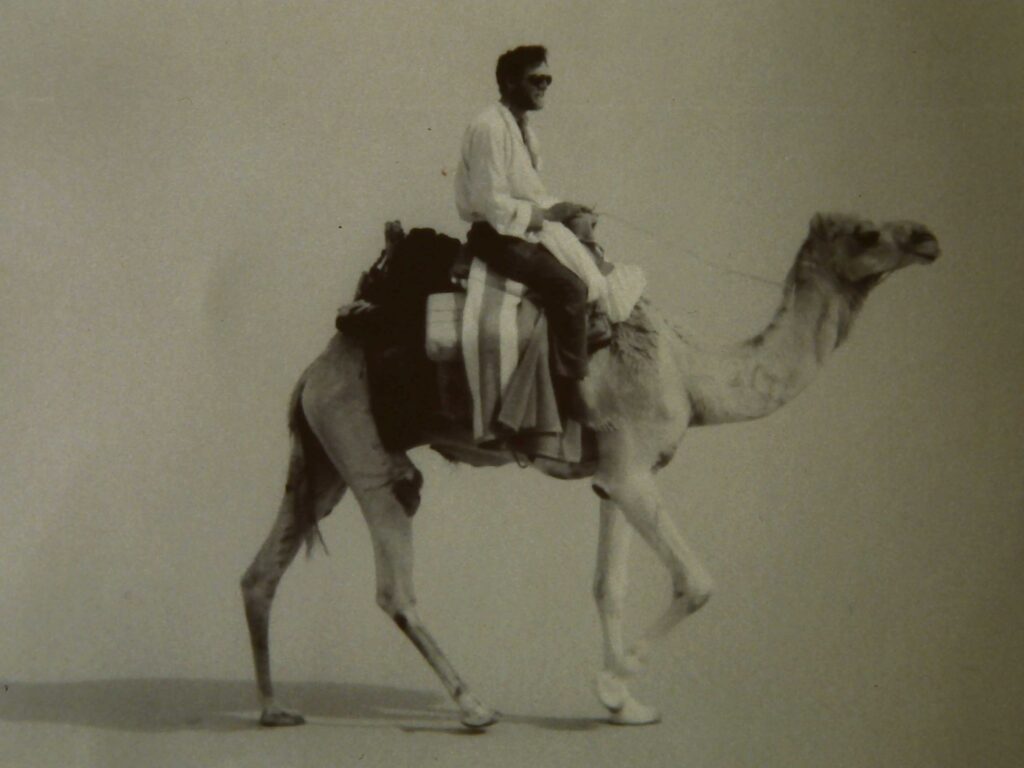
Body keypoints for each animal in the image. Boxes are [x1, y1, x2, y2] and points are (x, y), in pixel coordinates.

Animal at [237, 214, 937, 729]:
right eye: (867, 233)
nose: (927, 237)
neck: (691, 373)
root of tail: (311, 373)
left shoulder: (615, 474)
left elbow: (609, 585)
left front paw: (625, 705)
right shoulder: (632, 470)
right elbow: (697, 582)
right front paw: (613, 683)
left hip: (325, 455)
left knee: (261, 573)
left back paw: (274, 709)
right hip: (363, 449)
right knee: (395, 583)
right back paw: (474, 705)